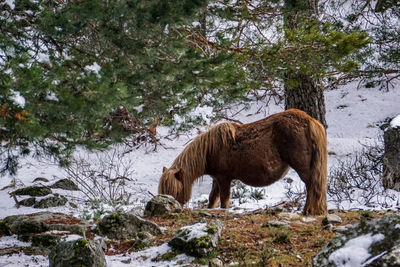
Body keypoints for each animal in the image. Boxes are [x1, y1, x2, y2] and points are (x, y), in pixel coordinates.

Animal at [158, 109, 326, 216]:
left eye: (175, 191)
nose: (171, 209)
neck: (211, 149)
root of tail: (309, 120)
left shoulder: (224, 179)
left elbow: (224, 201)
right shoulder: (217, 179)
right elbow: (212, 199)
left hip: (303, 167)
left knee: (312, 185)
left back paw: (307, 211)